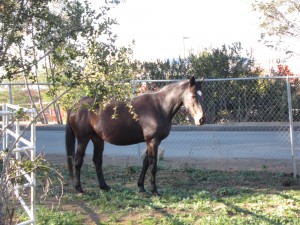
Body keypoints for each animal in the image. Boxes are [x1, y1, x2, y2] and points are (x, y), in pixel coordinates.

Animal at [65, 76, 205, 195]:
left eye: (201, 95)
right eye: (193, 96)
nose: (201, 119)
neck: (159, 106)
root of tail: (76, 105)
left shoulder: (151, 142)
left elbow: (146, 163)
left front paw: (141, 187)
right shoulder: (153, 141)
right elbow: (153, 166)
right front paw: (155, 191)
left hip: (97, 139)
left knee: (97, 161)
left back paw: (104, 186)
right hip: (83, 139)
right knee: (78, 161)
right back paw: (79, 188)